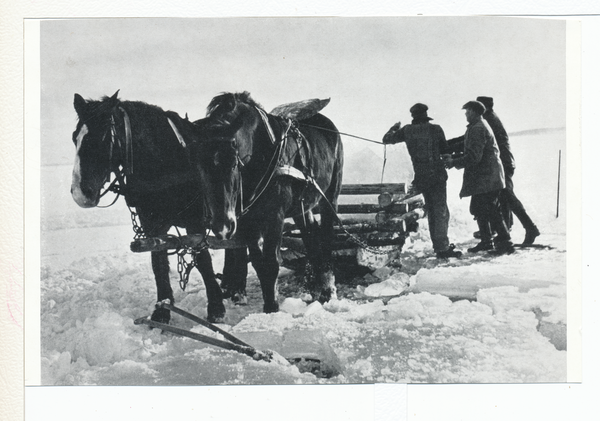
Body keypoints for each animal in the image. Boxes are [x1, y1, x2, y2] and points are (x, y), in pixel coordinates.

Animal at [69, 91, 230, 322]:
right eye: (75, 137)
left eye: (103, 138)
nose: (80, 194)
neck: (169, 162)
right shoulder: (152, 225)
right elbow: (158, 260)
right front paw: (162, 310)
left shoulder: (196, 222)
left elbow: (203, 260)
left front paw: (216, 308)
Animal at [190, 91, 344, 312]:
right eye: (199, 166)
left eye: (233, 162)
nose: (222, 226)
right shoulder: (246, 219)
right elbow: (257, 261)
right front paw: (268, 300)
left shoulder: (275, 215)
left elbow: (271, 262)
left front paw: (272, 308)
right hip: (301, 207)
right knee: (311, 237)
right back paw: (316, 286)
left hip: (330, 197)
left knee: (326, 236)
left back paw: (328, 290)